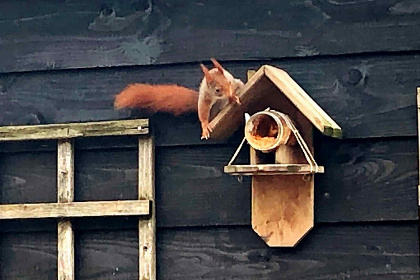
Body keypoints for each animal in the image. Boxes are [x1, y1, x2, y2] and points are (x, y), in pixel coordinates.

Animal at [113, 58, 244, 139]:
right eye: (217, 90)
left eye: (229, 83)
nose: (229, 93)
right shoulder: (205, 96)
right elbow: (202, 111)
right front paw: (205, 126)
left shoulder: (233, 82)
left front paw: (233, 97)